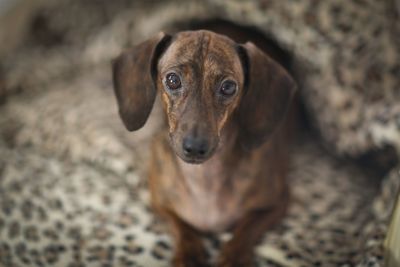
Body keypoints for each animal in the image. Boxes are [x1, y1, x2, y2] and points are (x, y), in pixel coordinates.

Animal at [112, 29, 296, 267]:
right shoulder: (159, 203)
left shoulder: (277, 204)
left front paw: (234, 257)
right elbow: (182, 227)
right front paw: (188, 254)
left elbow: (246, 229)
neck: (204, 179)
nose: (195, 147)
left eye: (228, 87)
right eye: (172, 80)